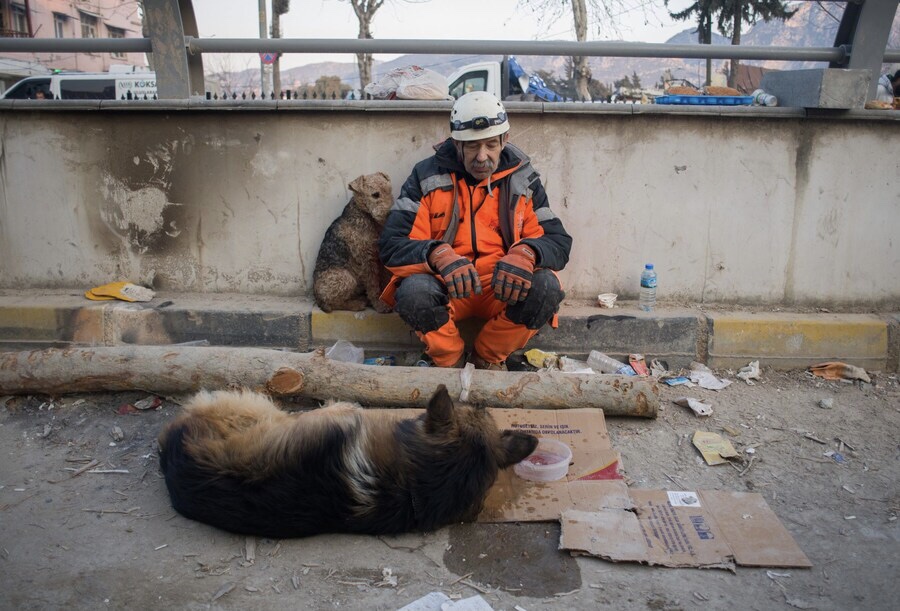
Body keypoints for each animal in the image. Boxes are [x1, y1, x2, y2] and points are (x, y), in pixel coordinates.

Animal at [314, 173, 392, 314]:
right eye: (375, 194)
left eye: (389, 191)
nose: (390, 213)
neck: (365, 214)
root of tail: (317, 298)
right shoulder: (367, 258)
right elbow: (373, 285)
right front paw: (380, 305)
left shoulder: (378, 254)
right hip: (346, 279)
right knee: (333, 304)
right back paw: (358, 304)